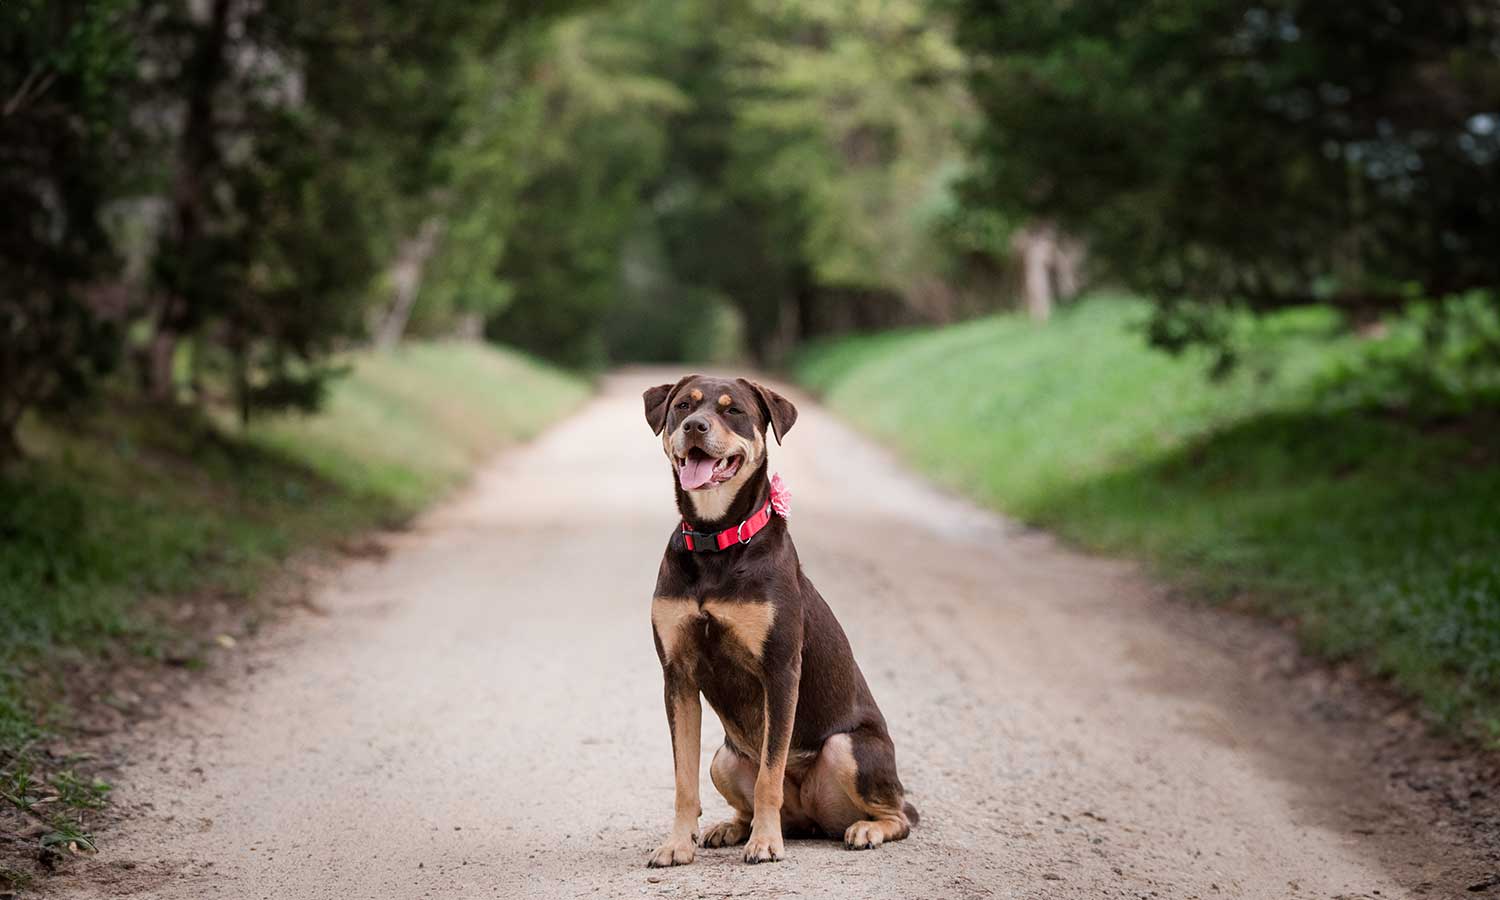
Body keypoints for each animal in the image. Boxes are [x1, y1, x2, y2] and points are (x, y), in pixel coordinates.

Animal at [642, 376, 912, 870]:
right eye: (682, 406)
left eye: (733, 411)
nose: (695, 426)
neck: (716, 541)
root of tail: (810, 818)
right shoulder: (678, 676)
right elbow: (683, 779)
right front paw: (677, 844)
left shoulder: (780, 669)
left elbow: (770, 774)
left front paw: (766, 843)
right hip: (724, 758)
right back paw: (732, 828)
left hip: (846, 749)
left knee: (901, 813)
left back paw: (863, 828)